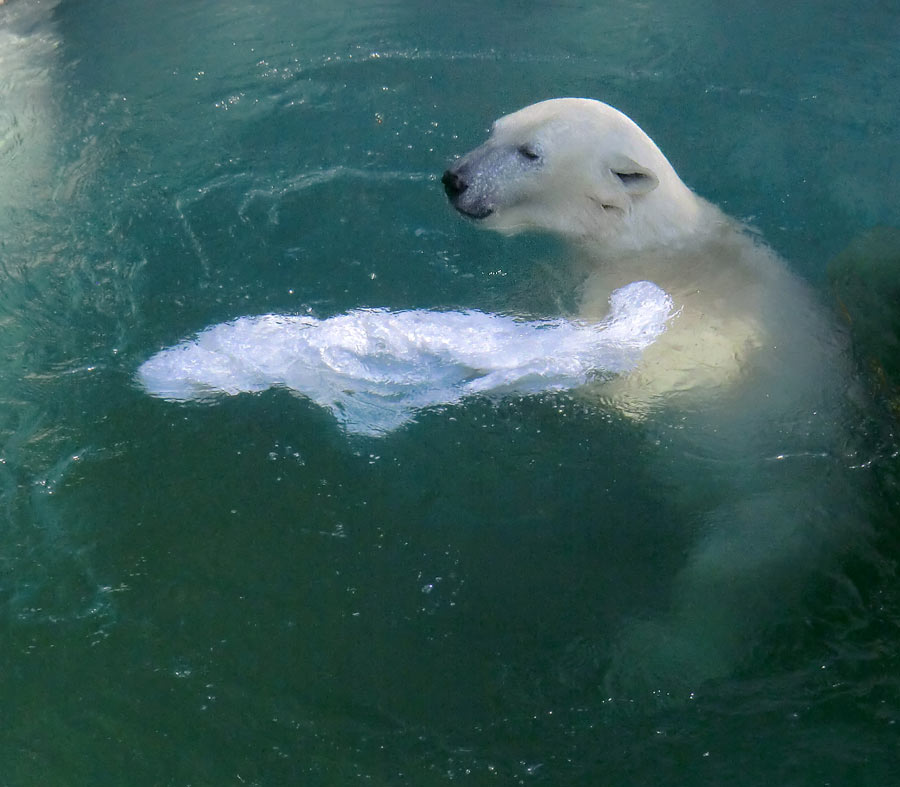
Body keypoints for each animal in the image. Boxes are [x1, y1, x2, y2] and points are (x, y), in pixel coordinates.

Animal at [446, 100, 856, 700]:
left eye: (530, 153)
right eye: (493, 131)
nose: (455, 179)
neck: (653, 241)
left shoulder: (668, 314)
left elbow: (624, 384)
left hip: (773, 508)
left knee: (726, 576)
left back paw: (654, 659)